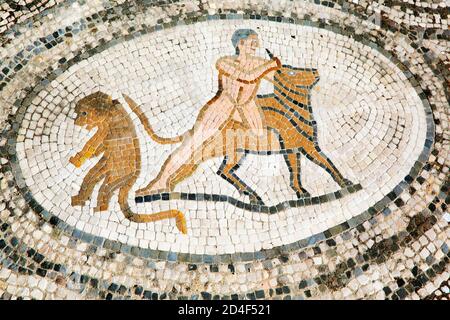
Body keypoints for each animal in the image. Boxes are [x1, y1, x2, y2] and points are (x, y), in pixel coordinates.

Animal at [68, 91, 186, 234]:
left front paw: (77, 160)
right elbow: (99, 147)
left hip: (118, 176)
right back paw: (80, 200)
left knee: (106, 188)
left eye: (84, 113)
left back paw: (100, 208)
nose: (76, 122)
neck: (110, 109)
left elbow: (92, 144)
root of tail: (133, 176)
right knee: (92, 176)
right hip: (109, 167)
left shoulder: (104, 126)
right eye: (78, 112)